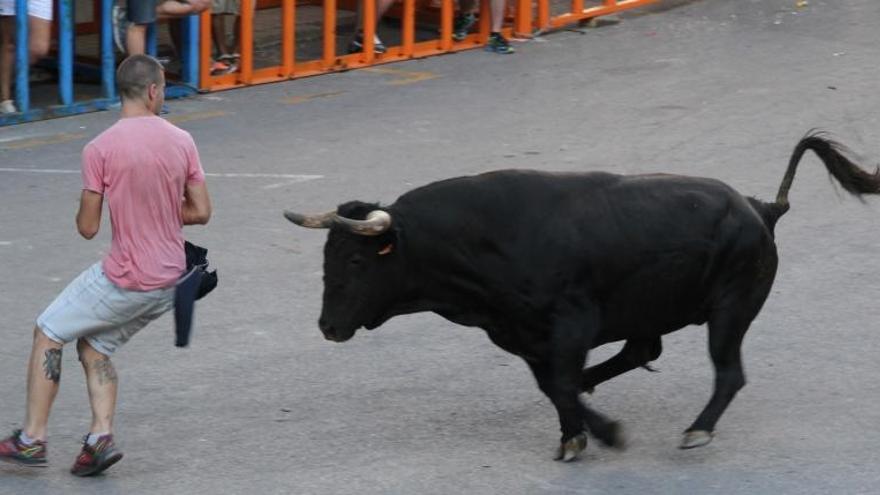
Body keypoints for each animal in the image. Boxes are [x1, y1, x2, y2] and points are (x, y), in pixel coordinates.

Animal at [286, 134, 876, 464]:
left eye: (356, 261)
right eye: (327, 257)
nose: (328, 327)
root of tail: (759, 208)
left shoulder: (571, 324)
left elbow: (562, 383)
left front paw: (604, 432)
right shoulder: (523, 335)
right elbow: (555, 386)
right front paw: (576, 435)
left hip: (730, 310)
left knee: (728, 374)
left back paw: (697, 430)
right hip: (655, 311)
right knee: (642, 351)